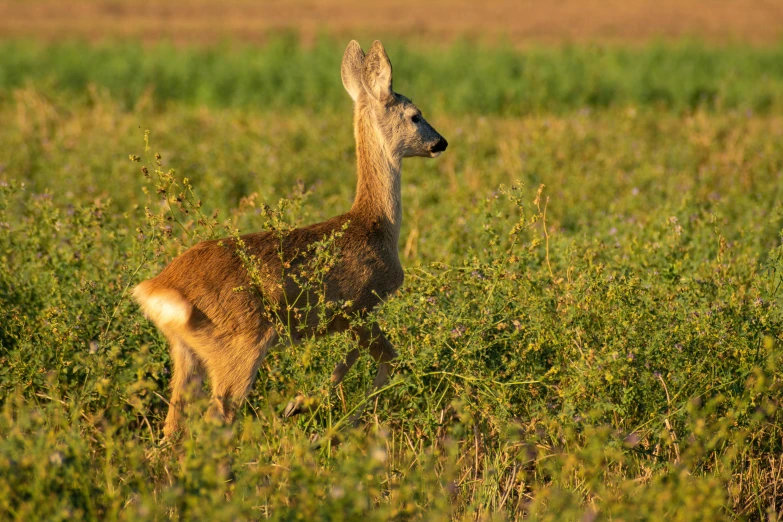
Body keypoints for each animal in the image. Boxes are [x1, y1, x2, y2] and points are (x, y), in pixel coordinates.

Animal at [133, 40, 448, 436]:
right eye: (415, 115)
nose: (441, 143)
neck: (375, 225)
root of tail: (159, 287)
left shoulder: (343, 318)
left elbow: (350, 361)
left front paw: (301, 405)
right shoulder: (360, 304)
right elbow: (388, 359)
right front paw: (331, 416)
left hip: (187, 351)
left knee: (173, 424)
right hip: (241, 341)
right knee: (218, 416)